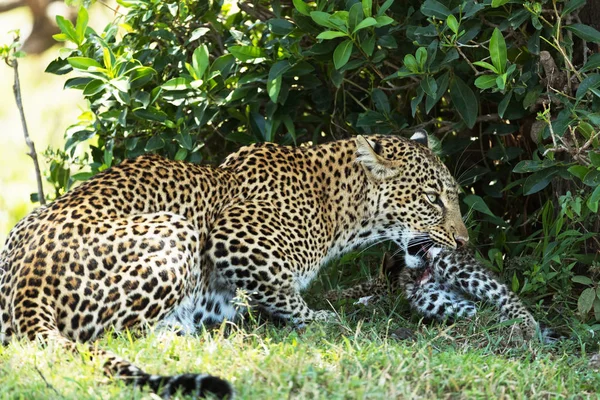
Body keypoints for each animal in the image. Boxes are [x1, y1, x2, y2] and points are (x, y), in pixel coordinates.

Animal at [0, 134, 466, 396]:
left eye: (454, 196)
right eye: (432, 199)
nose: (464, 241)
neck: (338, 206)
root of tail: (27, 283)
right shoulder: (232, 235)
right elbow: (285, 293)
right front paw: (320, 319)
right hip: (177, 230)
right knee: (115, 335)